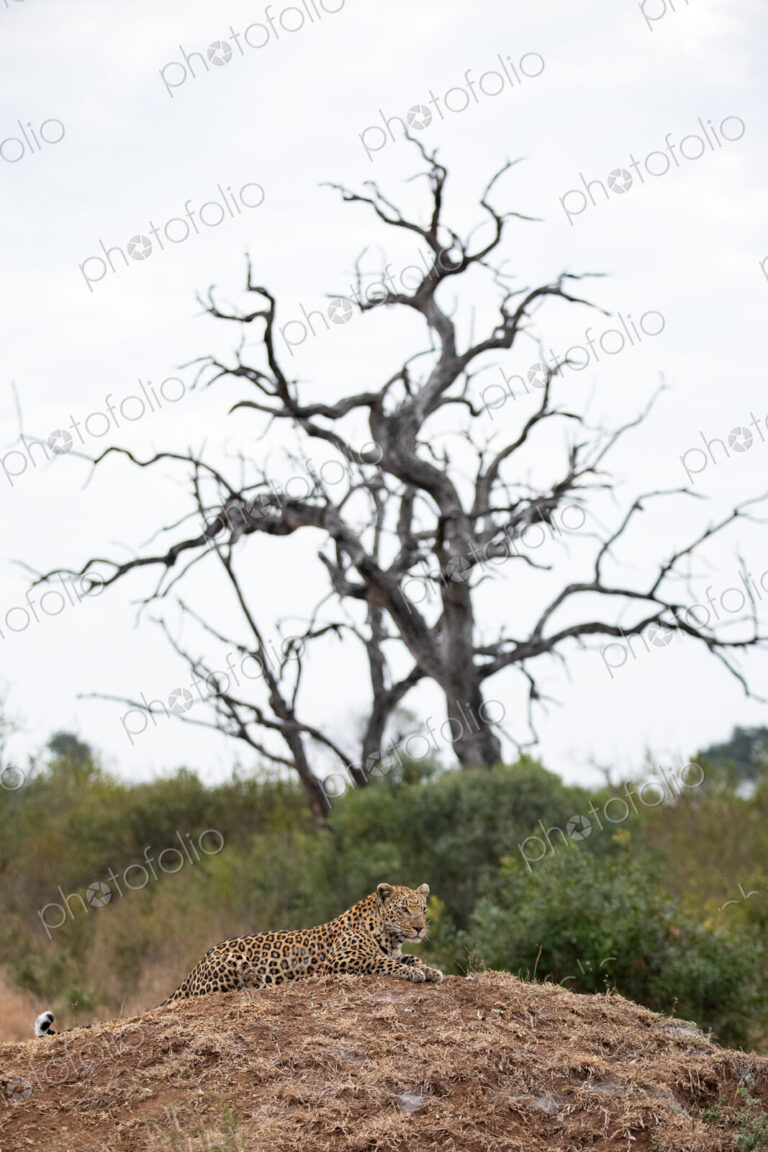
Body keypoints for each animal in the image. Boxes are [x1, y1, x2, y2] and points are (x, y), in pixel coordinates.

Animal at [34, 883, 442, 1035]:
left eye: (422, 908)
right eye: (405, 910)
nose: (420, 927)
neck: (386, 933)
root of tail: (194, 967)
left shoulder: (397, 949)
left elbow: (409, 959)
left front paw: (429, 969)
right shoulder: (338, 962)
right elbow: (381, 963)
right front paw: (415, 973)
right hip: (231, 963)